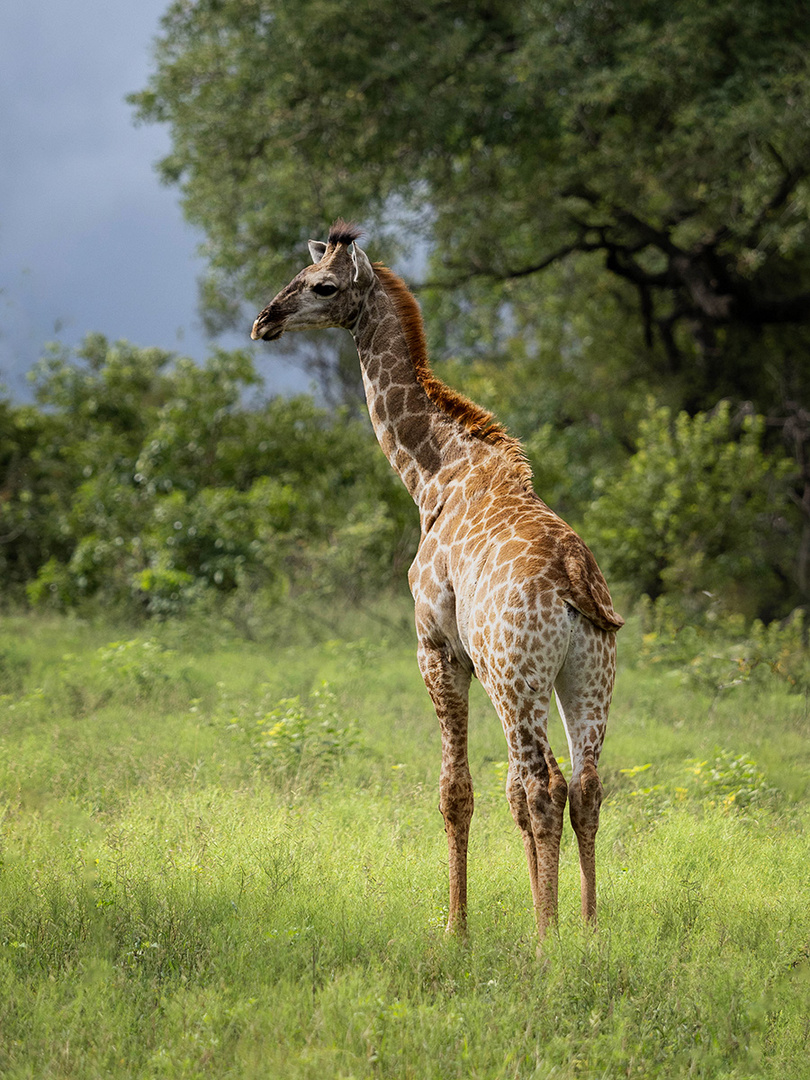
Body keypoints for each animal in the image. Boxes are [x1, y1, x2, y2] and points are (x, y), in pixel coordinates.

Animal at [250, 221, 626, 946]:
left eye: (323, 286)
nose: (264, 321)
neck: (433, 473)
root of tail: (574, 580)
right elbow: (500, 793)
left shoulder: (437, 647)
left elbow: (457, 791)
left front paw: (456, 927)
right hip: (588, 672)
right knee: (584, 784)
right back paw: (589, 929)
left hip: (516, 674)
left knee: (543, 784)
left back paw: (547, 940)